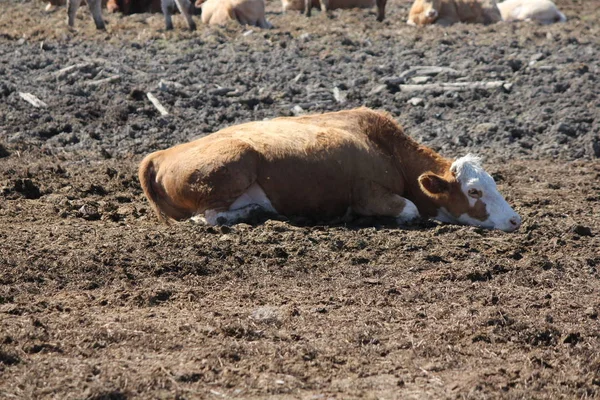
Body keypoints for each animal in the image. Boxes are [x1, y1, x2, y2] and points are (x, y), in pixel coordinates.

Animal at [138, 107, 524, 231]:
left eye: (493, 183)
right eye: (473, 190)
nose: (515, 220)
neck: (387, 149)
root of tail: (160, 155)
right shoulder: (370, 193)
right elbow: (411, 209)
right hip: (235, 164)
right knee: (208, 217)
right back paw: (256, 212)